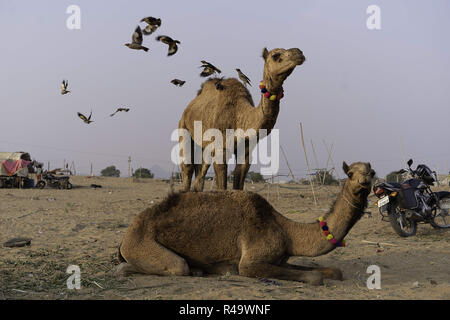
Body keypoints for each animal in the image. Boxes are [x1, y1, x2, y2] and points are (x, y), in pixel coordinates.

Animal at [117, 162, 376, 284]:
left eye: (372, 172)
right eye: (350, 173)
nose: (364, 180)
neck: (286, 230)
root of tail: (127, 234)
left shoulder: (280, 259)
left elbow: (334, 271)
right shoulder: (251, 262)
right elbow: (315, 277)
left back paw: (199, 270)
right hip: (141, 244)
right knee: (175, 266)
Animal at [178, 46, 304, 191]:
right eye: (276, 55)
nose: (299, 53)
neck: (240, 117)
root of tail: (188, 108)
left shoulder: (246, 151)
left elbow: (238, 183)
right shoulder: (220, 148)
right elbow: (222, 187)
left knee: (201, 170)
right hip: (183, 127)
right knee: (187, 166)